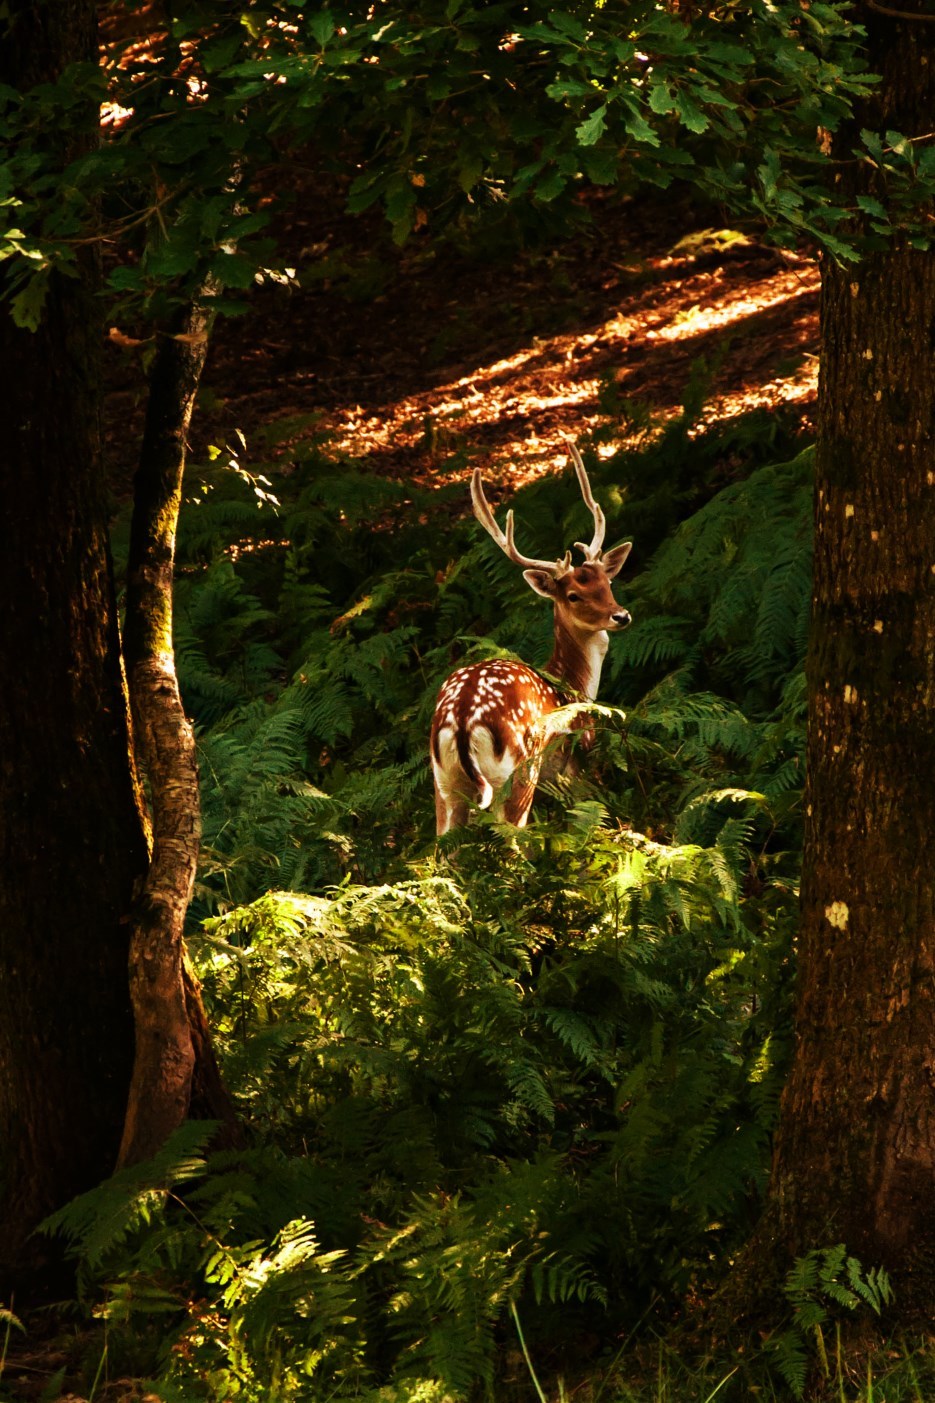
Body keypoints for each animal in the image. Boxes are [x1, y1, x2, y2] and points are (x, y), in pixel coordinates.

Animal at [432, 440, 634, 830]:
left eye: (607, 582)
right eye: (573, 595)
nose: (621, 615)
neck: (571, 687)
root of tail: (462, 722)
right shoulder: (575, 760)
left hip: (443, 784)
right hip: (520, 770)